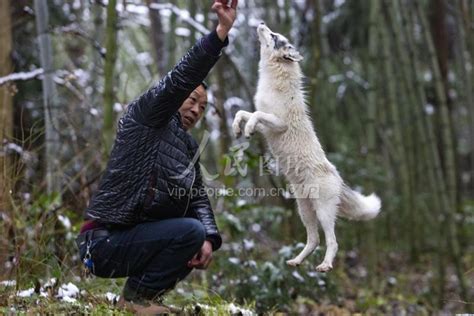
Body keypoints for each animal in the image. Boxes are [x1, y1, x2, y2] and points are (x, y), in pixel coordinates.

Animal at [233, 23, 382, 272]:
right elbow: (243, 113)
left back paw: (325, 266)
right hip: (305, 211)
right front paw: (238, 128)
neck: (275, 79)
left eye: (274, 36)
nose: (261, 22)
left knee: (332, 242)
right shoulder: (267, 128)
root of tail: (338, 177)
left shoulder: (277, 123)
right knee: (314, 240)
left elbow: (255, 114)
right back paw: (296, 261)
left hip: (323, 212)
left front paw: (247, 129)